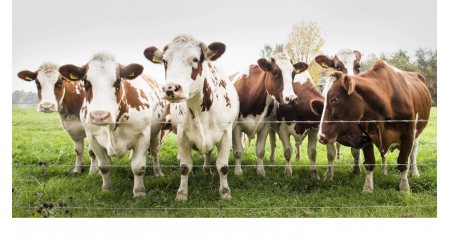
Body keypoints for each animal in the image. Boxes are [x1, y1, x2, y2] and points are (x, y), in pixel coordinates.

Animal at [58, 51, 167, 198]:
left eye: (118, 81)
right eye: (85, 81)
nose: (99, 116)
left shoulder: (143, 135)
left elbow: (138, 167)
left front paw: (139, 192)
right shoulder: (93, 138)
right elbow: (104, 166)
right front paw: (107, 188)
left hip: (156, 132)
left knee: (155, 152)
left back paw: (158, 173)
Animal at [145, 33, 241, 201]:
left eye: (195, 59)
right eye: (164, 61)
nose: (170, 88)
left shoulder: (225, 134)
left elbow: (223, 166)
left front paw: (225, 192)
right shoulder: (182, 135)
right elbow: (184, 166)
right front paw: (182, 193)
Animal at [312, 60, 432, 193]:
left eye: (334, 99)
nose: (320, 136)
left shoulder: (408, 134)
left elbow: (403, 162)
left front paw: (405, 188)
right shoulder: (366, 136)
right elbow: (369, 163)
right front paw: (368, 188)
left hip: (417, 134)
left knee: (413, 153)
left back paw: (414, 172)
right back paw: (384, 169)